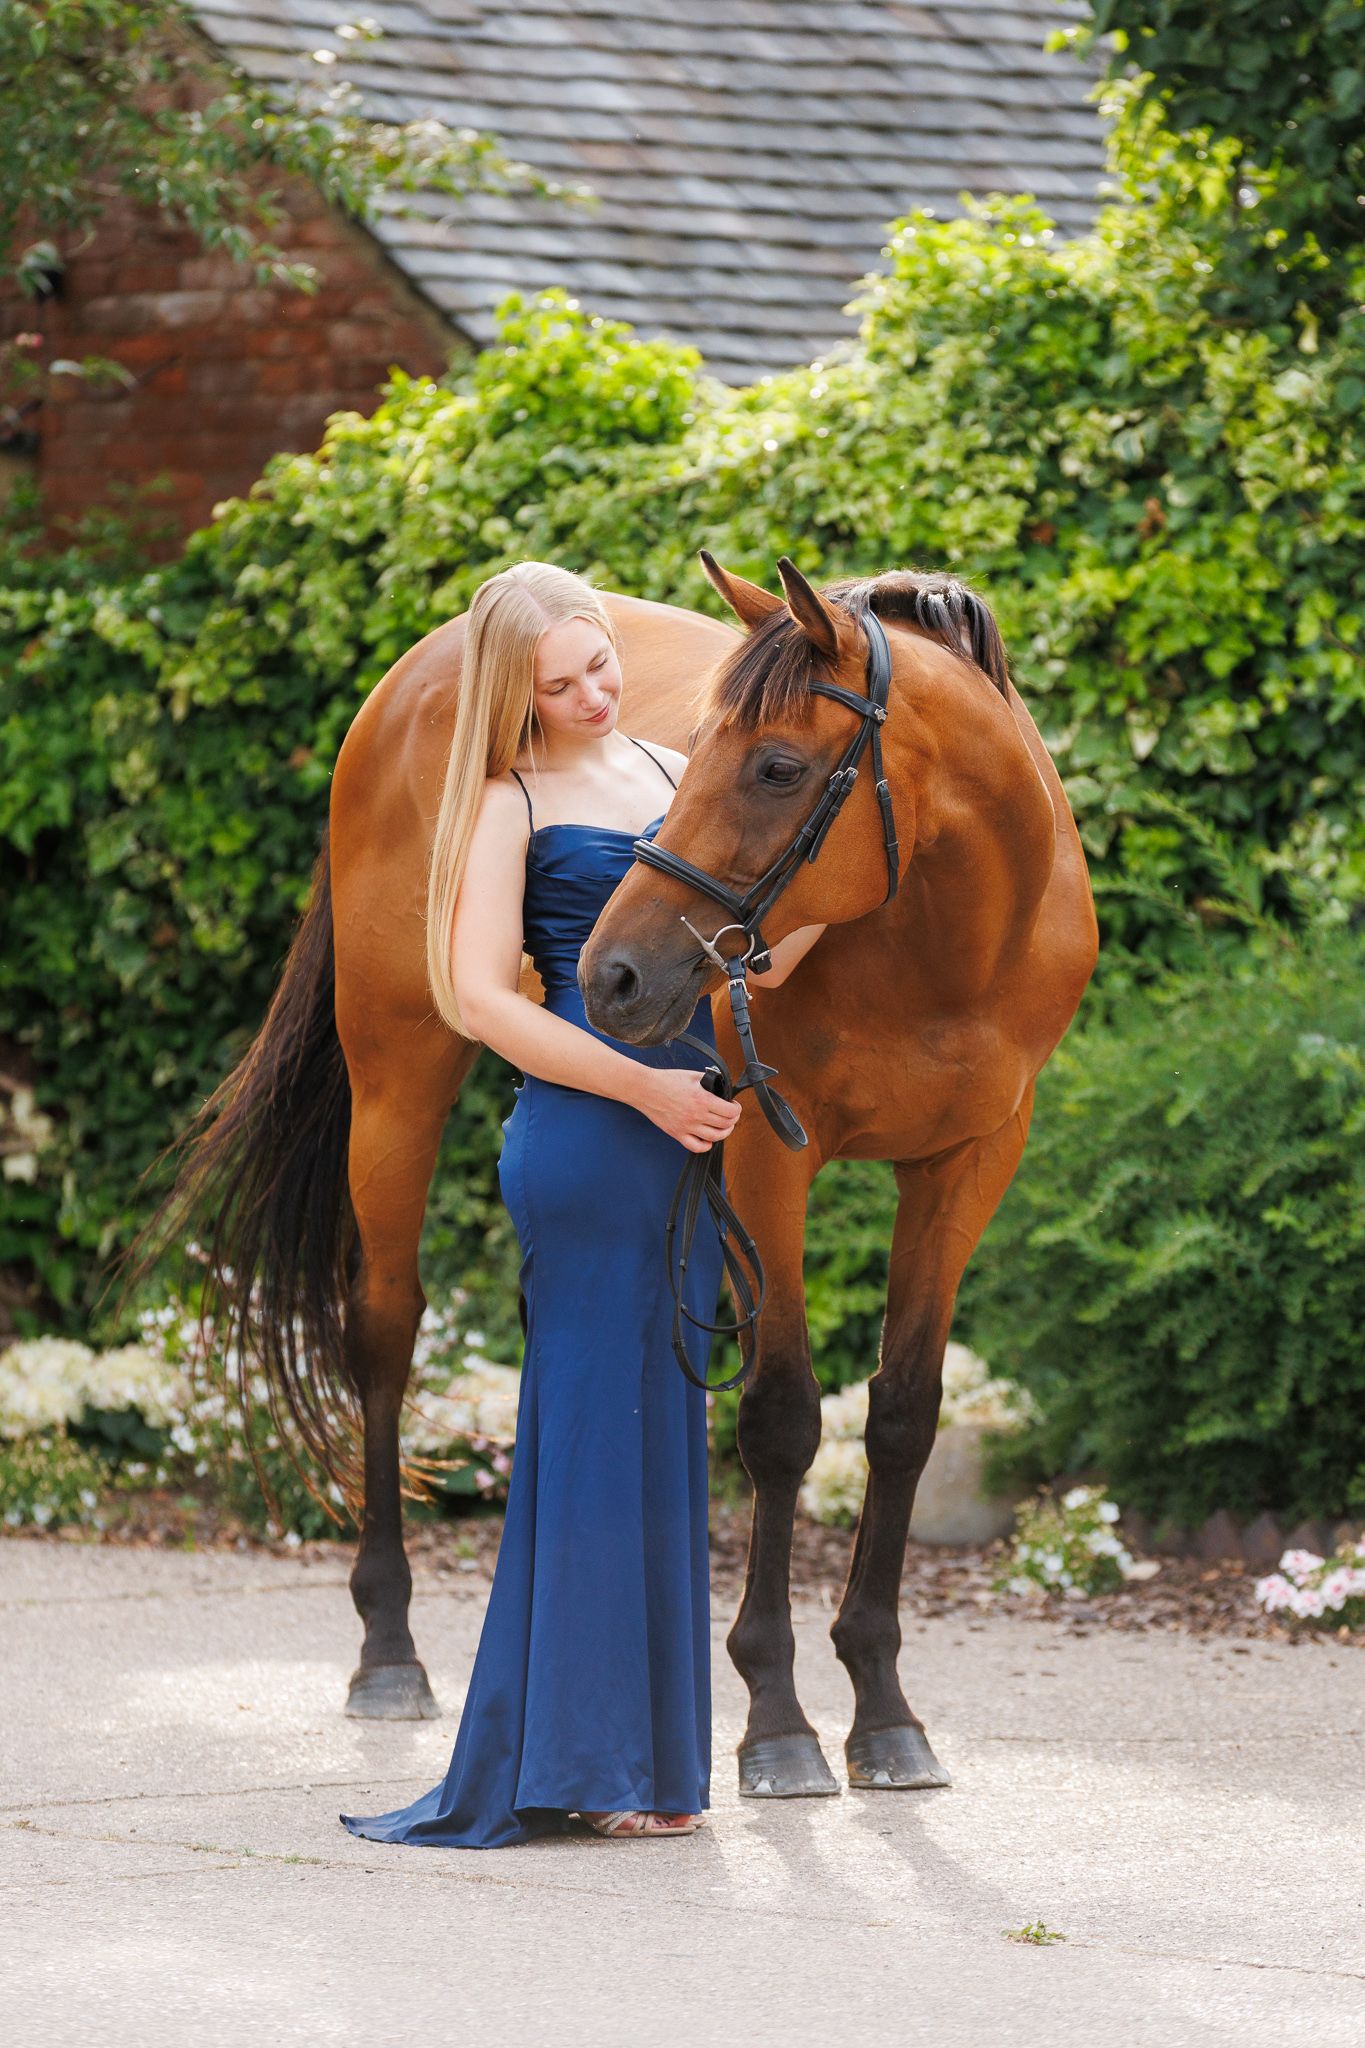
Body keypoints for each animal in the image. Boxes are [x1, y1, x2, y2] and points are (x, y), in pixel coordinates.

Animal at [115, 557, 1096, 1799]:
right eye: (701, 746)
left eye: (777, 765)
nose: (617, 973)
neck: (946, 939)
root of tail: (421, 666)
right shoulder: (770, 1154)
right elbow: (782, 1417)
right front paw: (776, 1717)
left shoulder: (967, 1168)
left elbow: (903, 1417)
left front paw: (882, 1704)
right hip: (398, 1079)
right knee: (382, 1329)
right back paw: (389, 1647)